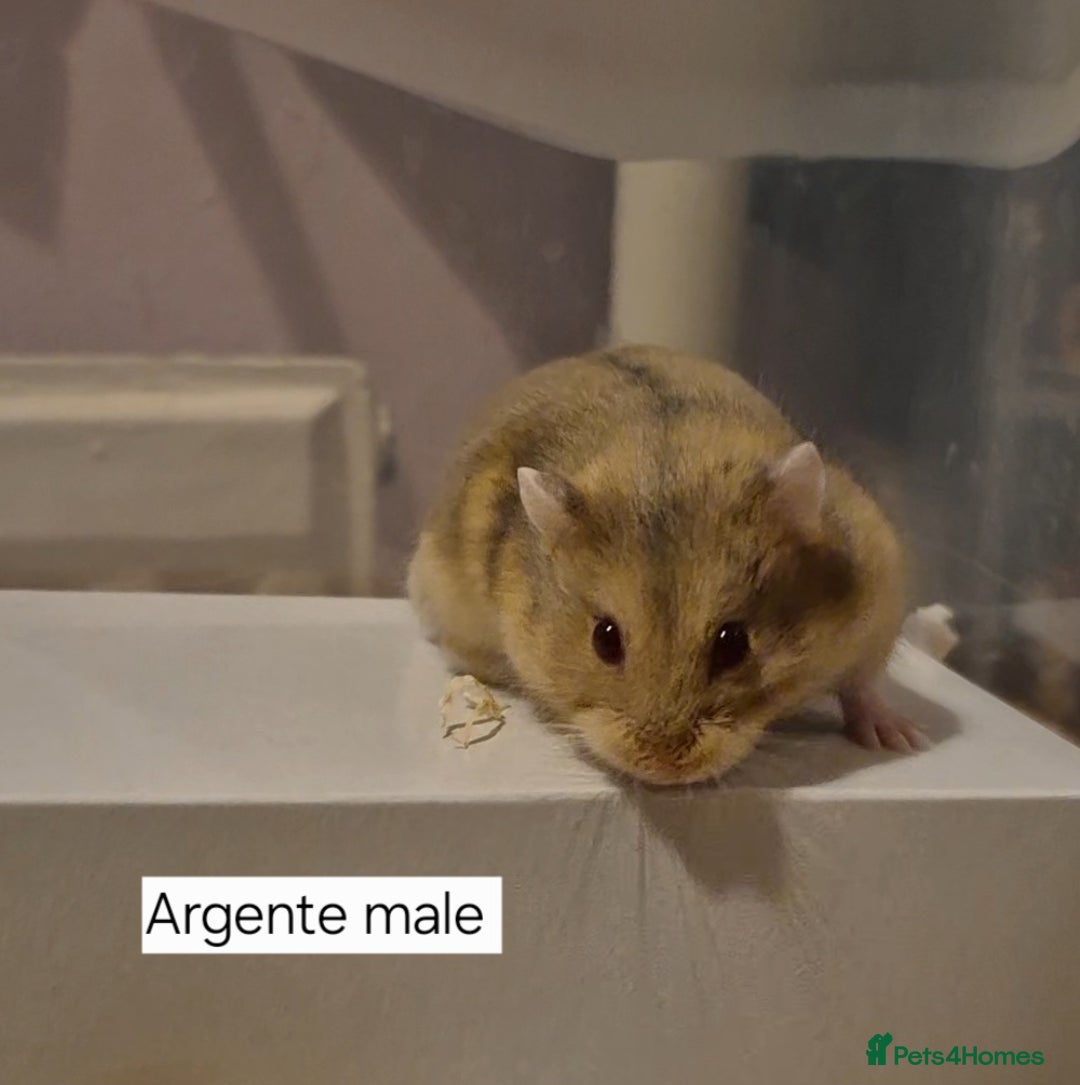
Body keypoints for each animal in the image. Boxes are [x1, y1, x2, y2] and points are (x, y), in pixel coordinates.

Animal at [408, 344, 927, 786]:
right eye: (604, 639)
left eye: (735, 642)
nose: (665, 769)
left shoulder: (880, 596)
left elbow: (861, 686)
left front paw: (900, 740)